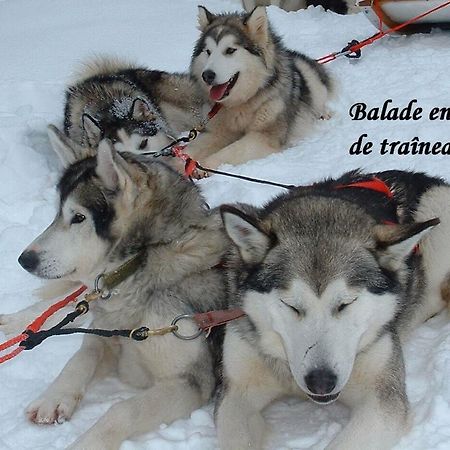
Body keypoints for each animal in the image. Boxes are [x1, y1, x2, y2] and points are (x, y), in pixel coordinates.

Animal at [17, 125, 229, 450]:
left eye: (79, 217)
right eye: (56, 215)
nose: (24, 259)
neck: (143, 261)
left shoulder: (189, 381)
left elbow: (122, 410)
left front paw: (85, 443)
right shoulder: (105, 336)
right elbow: (81, 356)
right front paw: (54, 397)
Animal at [188, 6, 332, 172]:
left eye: (230, 50)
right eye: (208, 52)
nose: (207, 75)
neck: (241, 102)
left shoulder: (263, 136)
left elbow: (231, 151)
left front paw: (202, 166)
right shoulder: (218, 131)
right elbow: (192, 147)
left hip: (309, 78)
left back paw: (325, 113)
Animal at [216, 170, 448, 450]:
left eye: (346, 303)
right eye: (290, 305)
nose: (321, 382)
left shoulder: (383, 400)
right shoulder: (236, 392)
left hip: (438, 205)